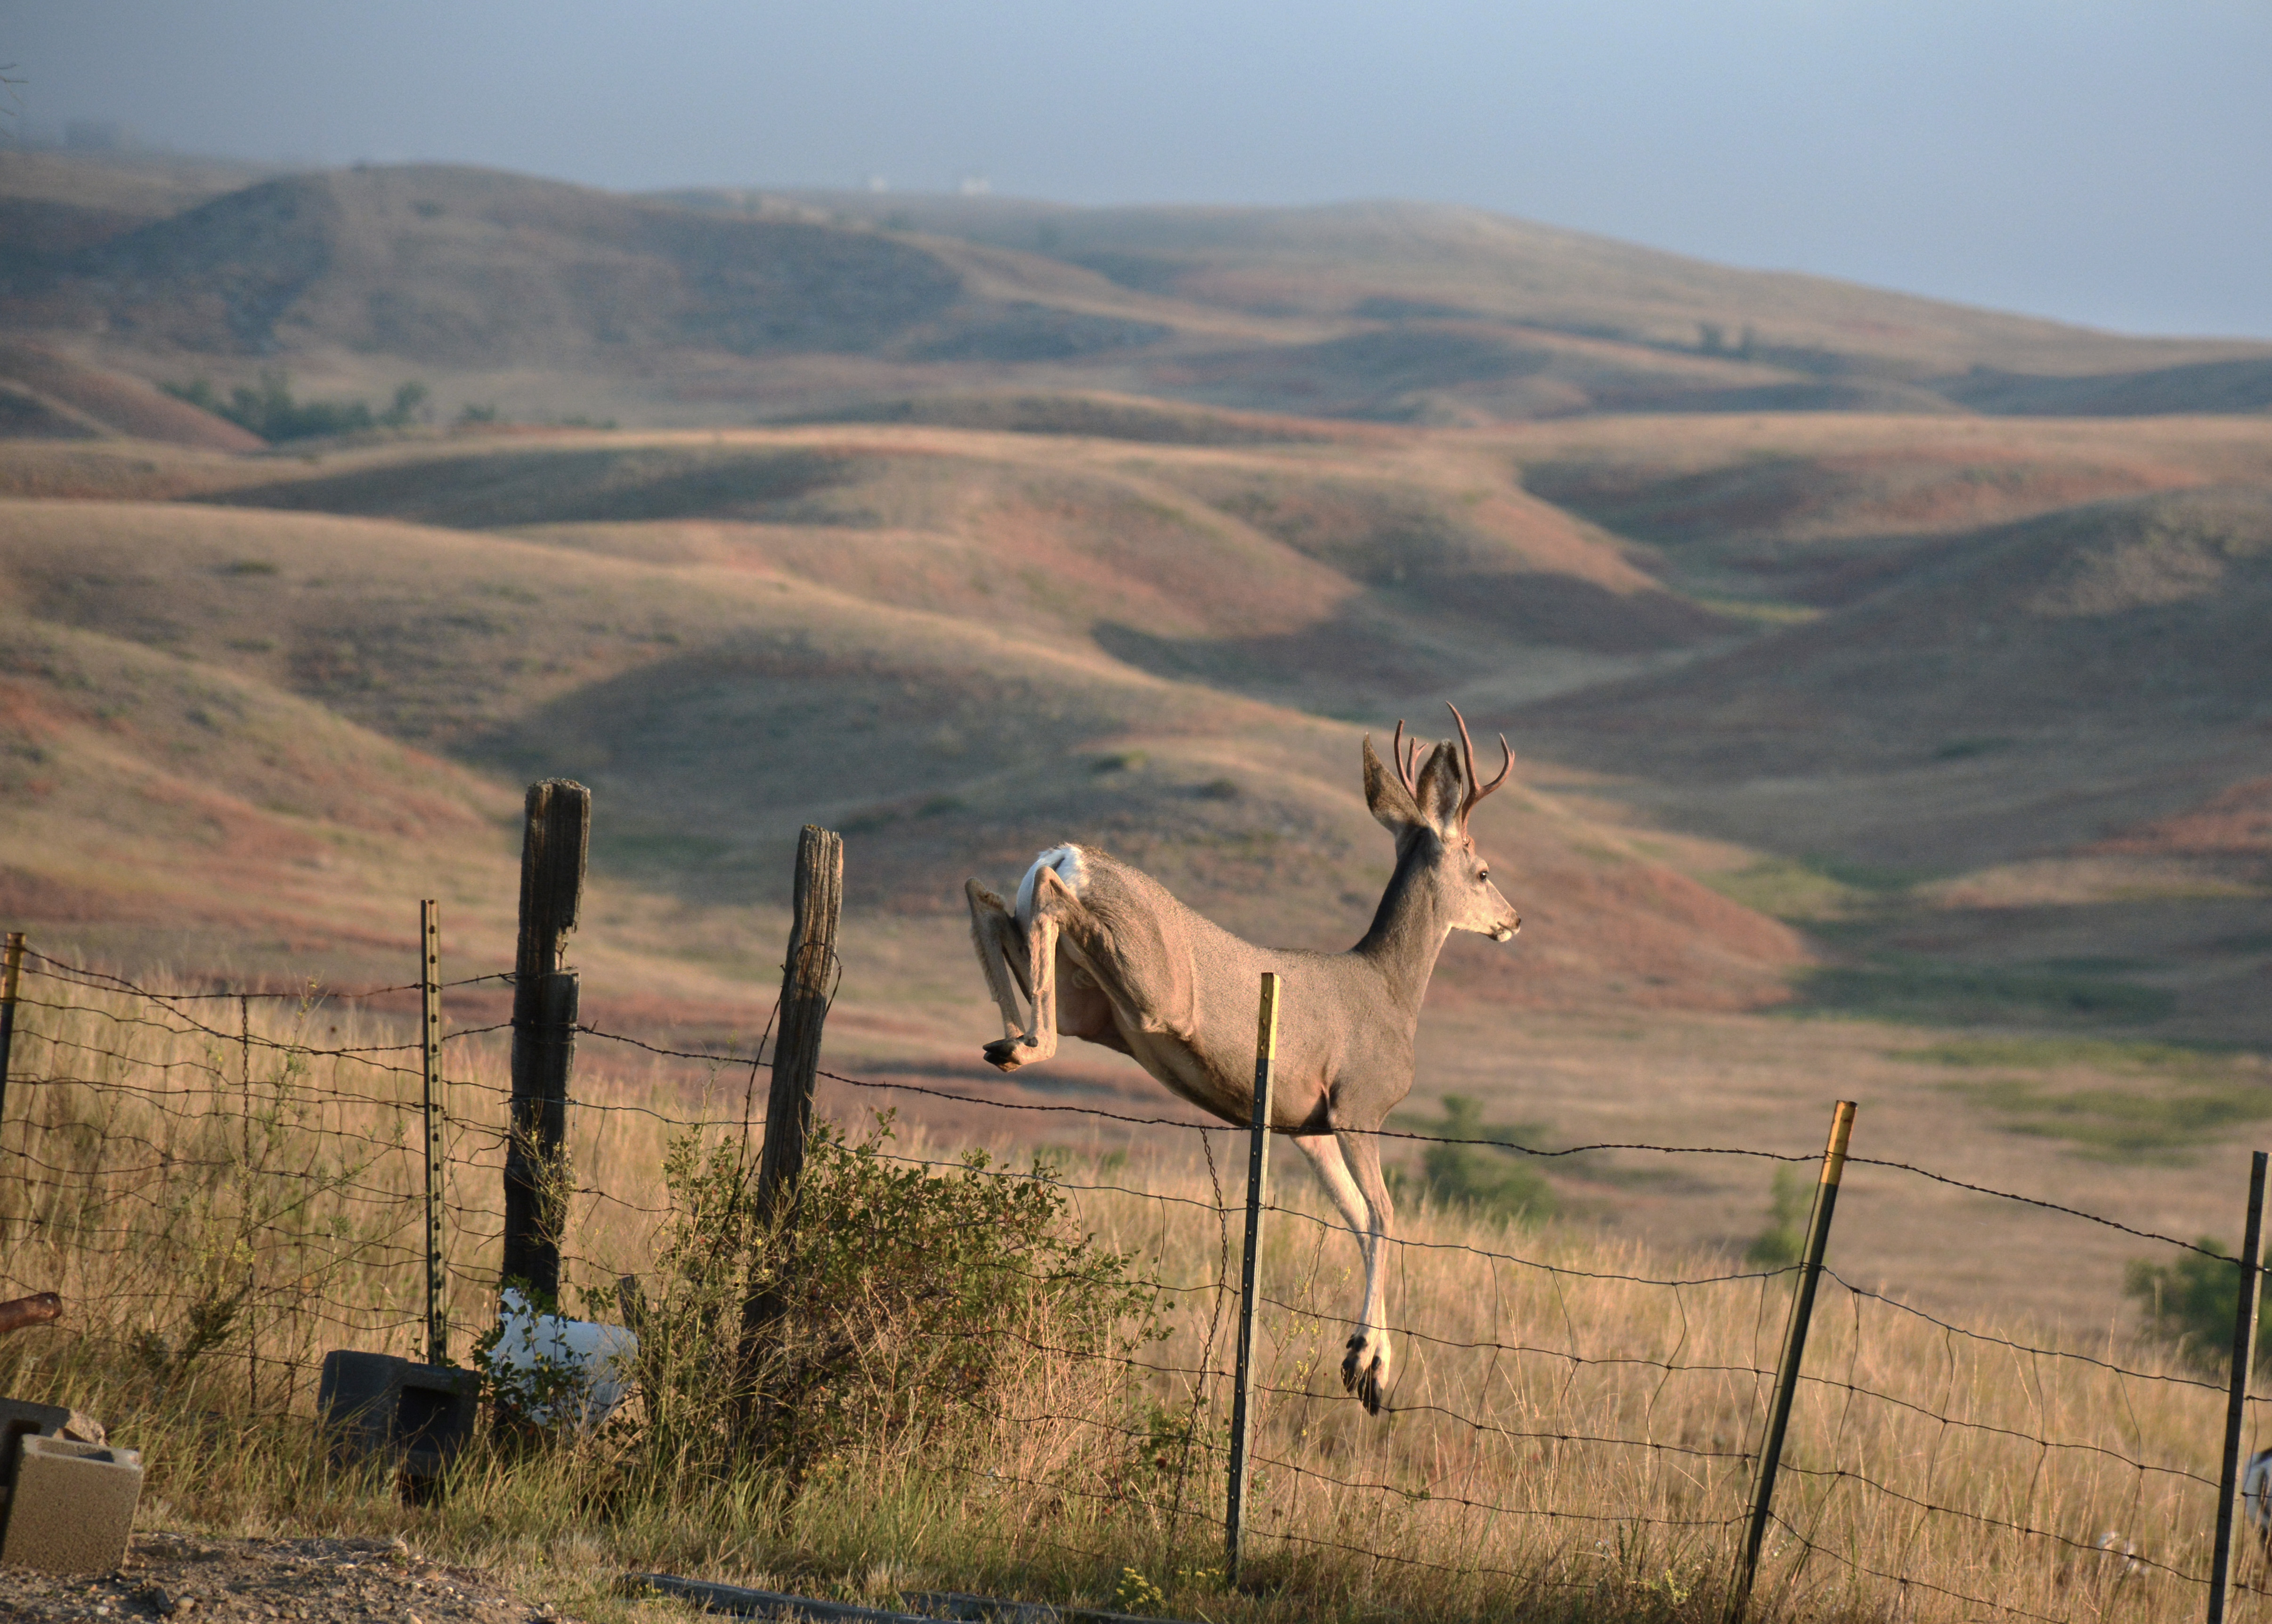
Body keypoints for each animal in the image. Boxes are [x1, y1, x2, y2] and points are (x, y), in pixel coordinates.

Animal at [963, 704, 1526, 1417]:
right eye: (1482, 872)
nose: (1513, 919)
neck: (1391, 991)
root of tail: (1067, 852)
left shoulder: (1304, 1126)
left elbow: (1356, 1218)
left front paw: (1366, 1364)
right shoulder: (1359, 1102)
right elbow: (1386, 1215)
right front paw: (1367, 1363)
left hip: (1090, 1001)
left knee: (988, 899)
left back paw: (1008, 1039)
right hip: (1159, 991)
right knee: (1044, 899)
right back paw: (1028, 1039)